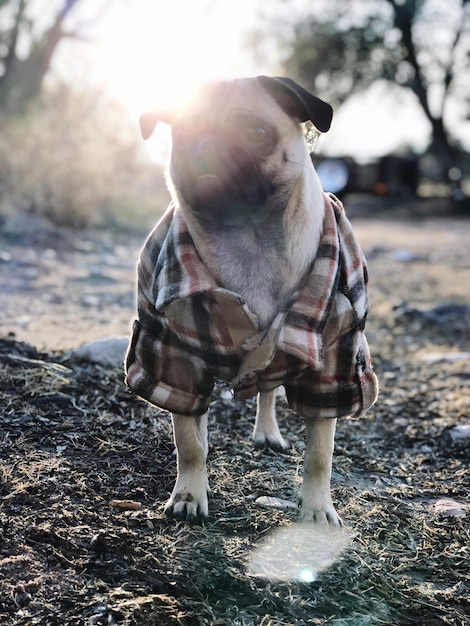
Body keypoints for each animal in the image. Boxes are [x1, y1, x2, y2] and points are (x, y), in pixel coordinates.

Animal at [125, 78, 378, 528]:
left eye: (255, 133)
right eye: (183, 134)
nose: (208, 145)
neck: (247, 235)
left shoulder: (333, 361)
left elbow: (320, 453)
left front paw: (317, 508)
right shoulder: (171, 355)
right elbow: (188, 440)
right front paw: (190, 493)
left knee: (267, 390)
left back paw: (267, 432)